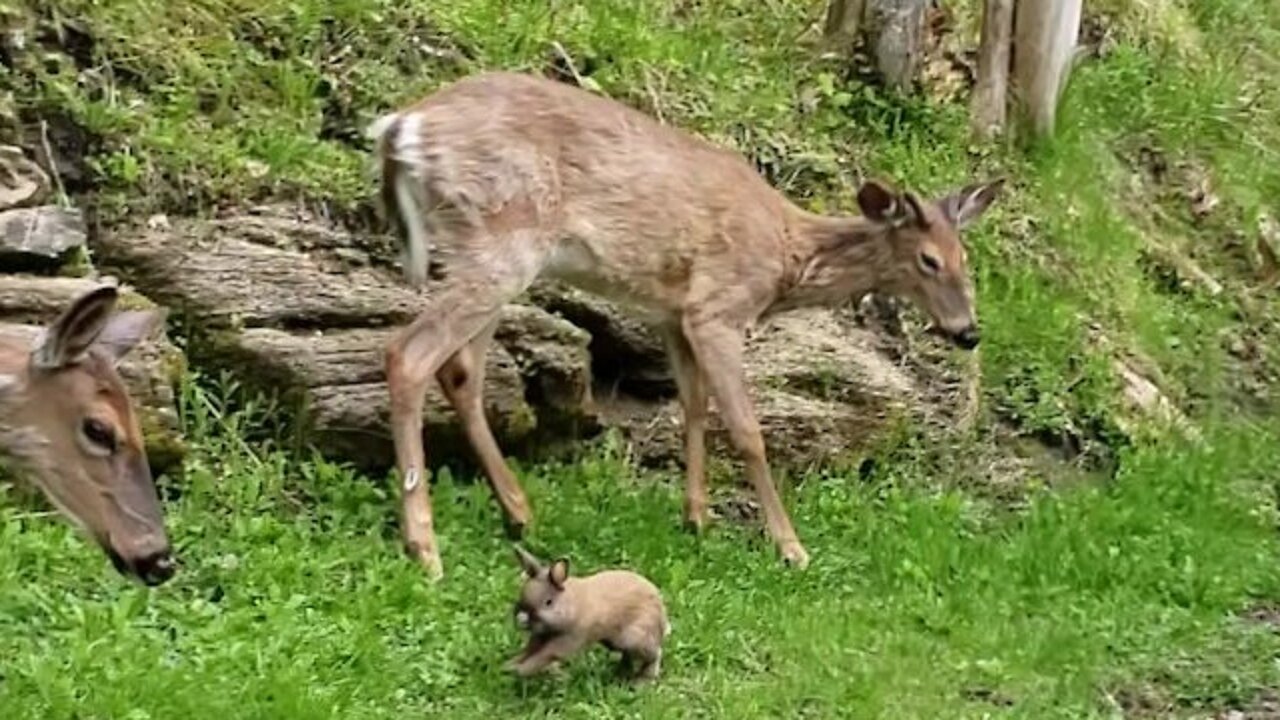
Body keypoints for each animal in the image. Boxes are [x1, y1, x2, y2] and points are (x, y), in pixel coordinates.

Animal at [366, 71, 1003, 576]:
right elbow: (747, 428)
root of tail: (401, 128)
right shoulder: (718, 307)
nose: (968, 331)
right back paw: (425, 547)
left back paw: (518, 513)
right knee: (409, 355)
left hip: (490, 256)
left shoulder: (674, 313)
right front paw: (789, 546)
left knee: (461, 371)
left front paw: (696, 517)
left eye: (967, 259)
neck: (787, 254)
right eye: (929, 260)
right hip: (501, 241)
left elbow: (692, 407)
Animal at [506, 543, 675, 676]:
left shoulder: (570, 639)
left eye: (548, 602)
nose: (521, 618)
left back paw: (641, 682)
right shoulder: (541, 637)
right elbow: (529, 650)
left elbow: (546, 655)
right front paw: (510, 665)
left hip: (634, 638)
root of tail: (662, 620)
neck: (573, 603)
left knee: (655, 655)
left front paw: (520, 671)